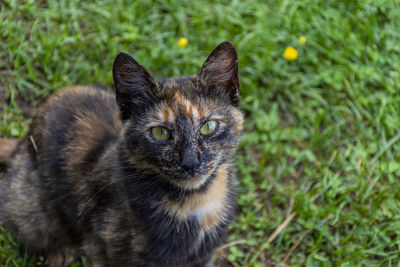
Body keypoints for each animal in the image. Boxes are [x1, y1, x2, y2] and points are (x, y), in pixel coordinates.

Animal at [0, 41, 244, 267]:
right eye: (160, 132)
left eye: (208, 126)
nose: (191, 163)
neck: (195, 203)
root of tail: (23, 140)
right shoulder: (100, 248)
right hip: (35, 213)